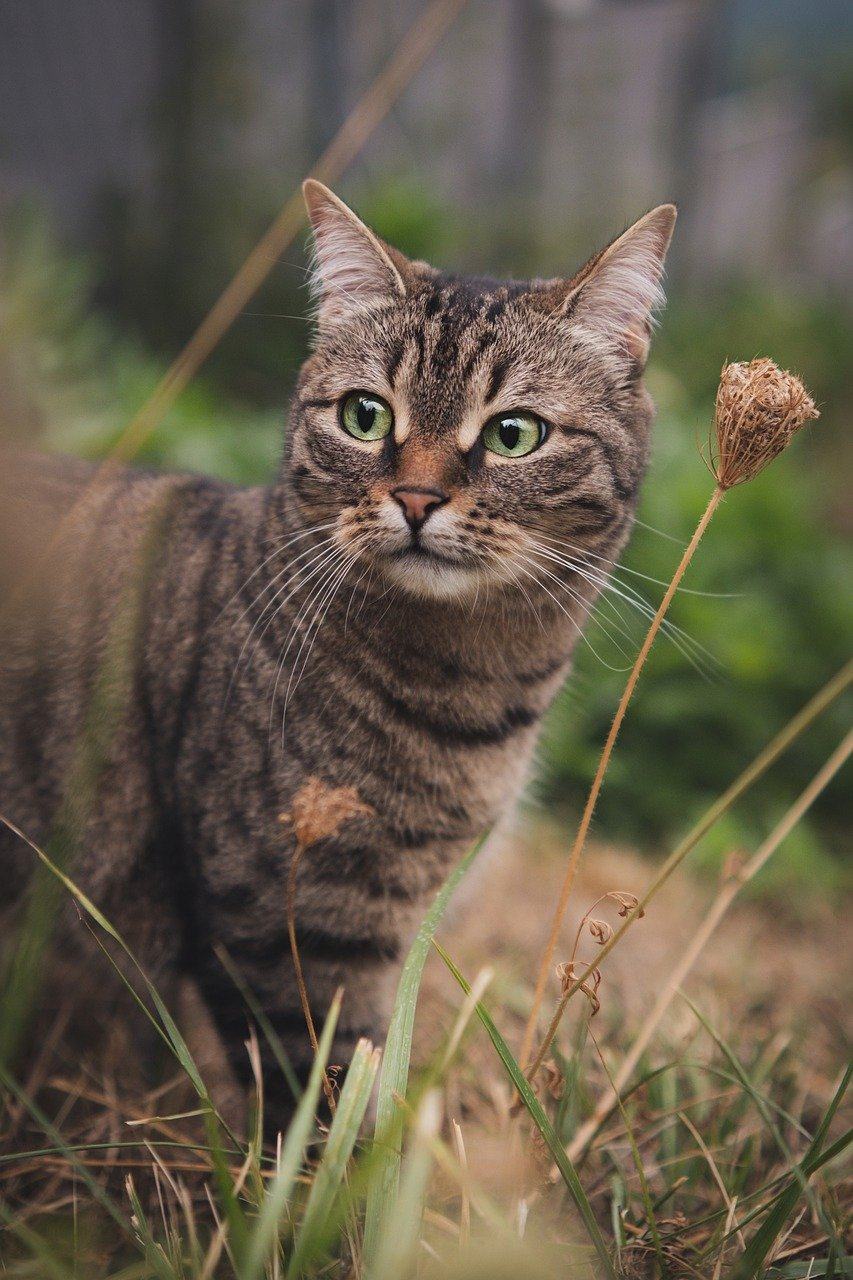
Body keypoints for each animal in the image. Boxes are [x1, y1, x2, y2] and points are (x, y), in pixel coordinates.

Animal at [1, 180, 671, 1121]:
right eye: (365, 416)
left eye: (513, 434)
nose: (418, 498)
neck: (472, 689)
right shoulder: (287, 927)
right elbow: (328, 1100)